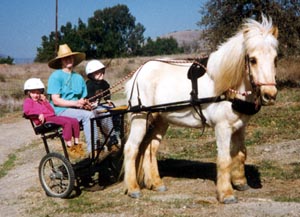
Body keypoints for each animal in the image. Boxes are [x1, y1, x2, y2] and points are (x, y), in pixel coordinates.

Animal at [123, 15, 278, 203]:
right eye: (253, 60)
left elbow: (241, 153)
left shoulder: (240, 127)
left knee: (150, 148)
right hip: (140, 119)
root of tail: (136, 74)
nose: (270, 95)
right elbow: (224, 159)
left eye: (275, 59)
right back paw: (133, 188)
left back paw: (156, 183)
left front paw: (240, 182)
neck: (226, 86)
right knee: (131, 148)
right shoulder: (222, 127)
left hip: (160, 120)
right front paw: (226, 193)